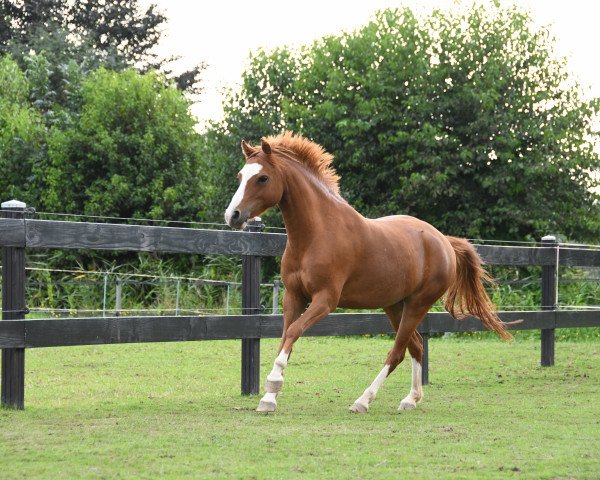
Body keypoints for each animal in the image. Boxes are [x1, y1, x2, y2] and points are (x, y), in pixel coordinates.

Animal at [225, 130, 510, 412]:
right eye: (240, 176)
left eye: (263, 178)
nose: (233, 216)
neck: (316, 234)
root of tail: (444, 241)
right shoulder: (293, 296)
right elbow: (286, 338)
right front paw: (269, 398)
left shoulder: (325, 300)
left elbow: (294, 332)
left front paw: (272, 385)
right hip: (394, 305)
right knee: (416, 346)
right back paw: (410, 399)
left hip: (418, 304)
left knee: (397, 352)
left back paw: (363, 401)